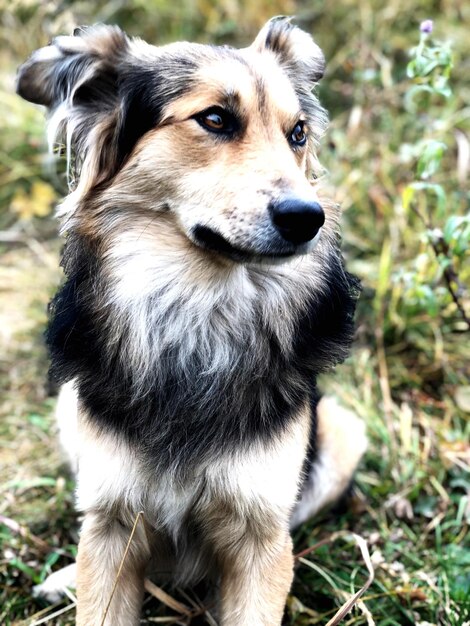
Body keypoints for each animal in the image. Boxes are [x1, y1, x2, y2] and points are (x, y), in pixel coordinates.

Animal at [16, 18, 368, 624]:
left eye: (297, 133)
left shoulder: (260, 536)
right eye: (215, 119)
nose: (309, 218)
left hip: (341, 435)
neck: (198, 313)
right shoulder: (112, 525)